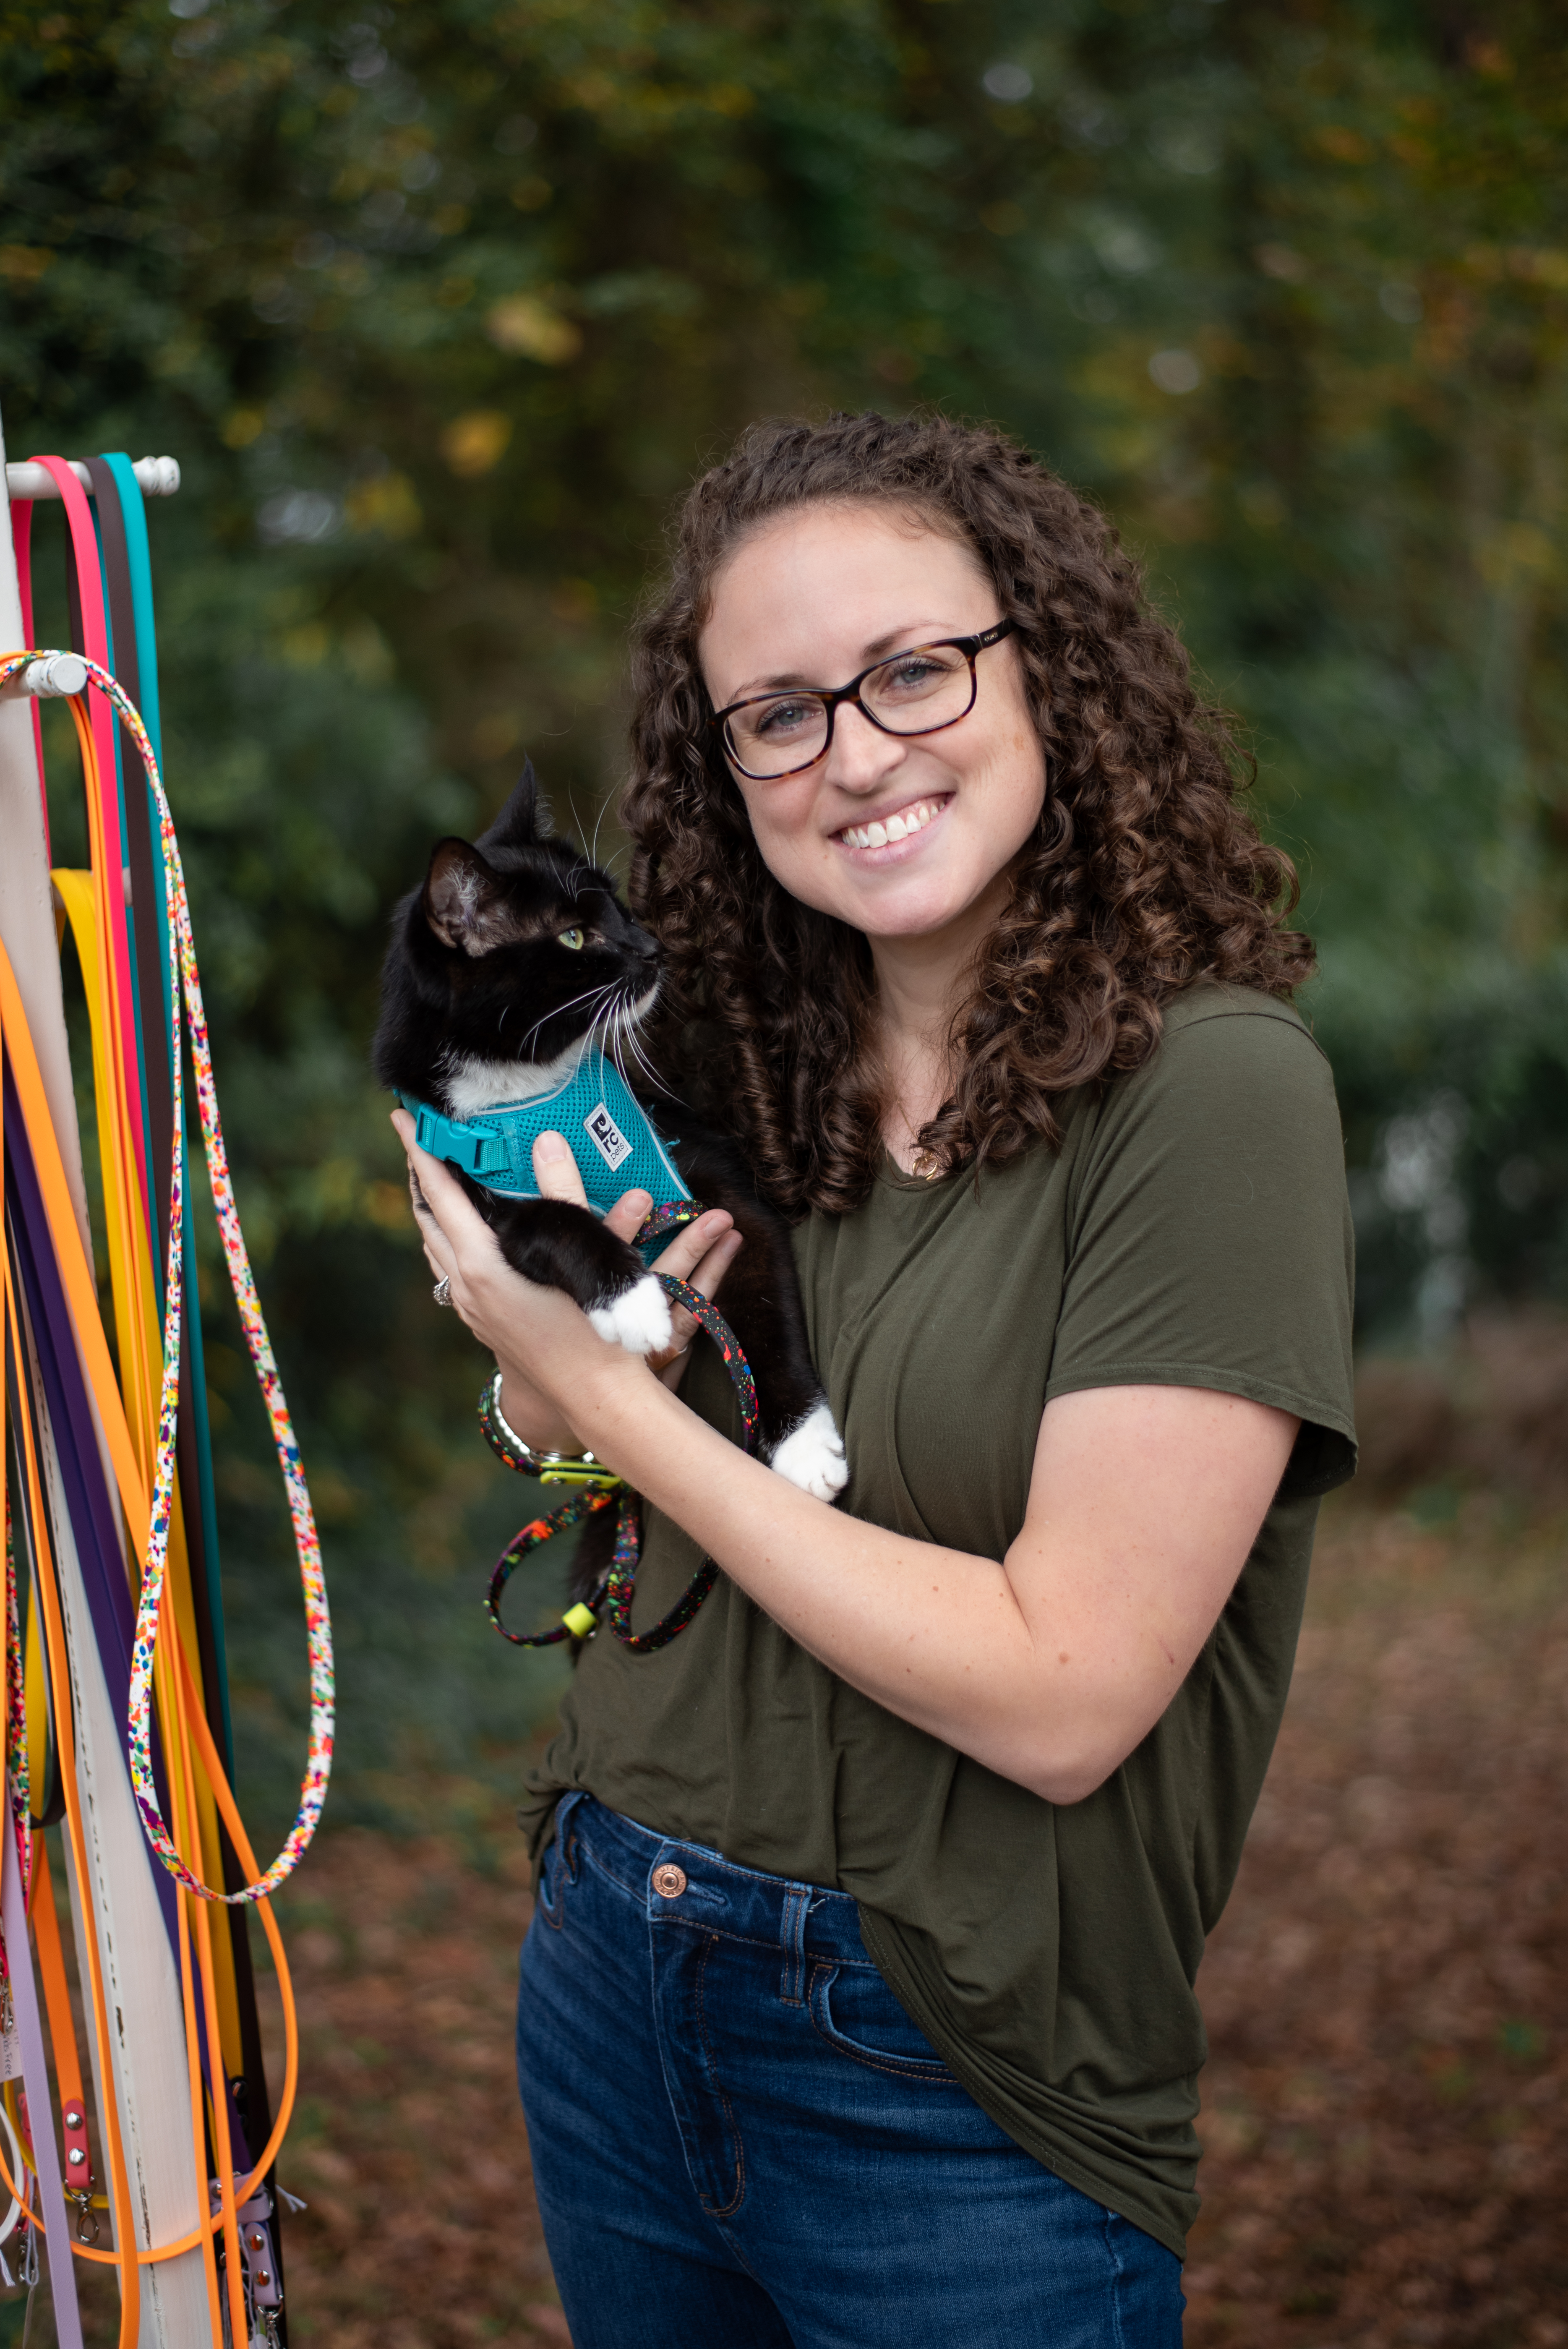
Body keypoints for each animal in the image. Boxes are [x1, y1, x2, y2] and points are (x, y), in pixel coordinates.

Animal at [376, 765, 850, 1503]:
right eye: (573, 937)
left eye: (620, 905)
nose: (652, 947)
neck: (534, 1086)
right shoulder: (465, 1182)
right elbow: (552, 1223)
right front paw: (633, 1301)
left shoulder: (704, 1180)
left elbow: (766, 1294)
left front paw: (804, 1445)